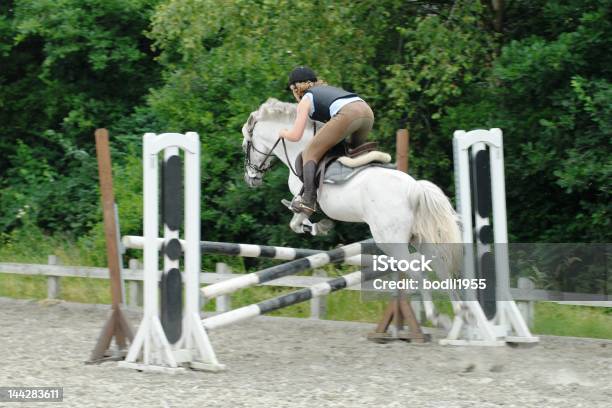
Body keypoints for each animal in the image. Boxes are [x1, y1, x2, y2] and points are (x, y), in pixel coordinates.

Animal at [241, 99, 462, 326]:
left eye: (245, 146)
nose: (250, 179)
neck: (298, 148)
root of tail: (415, 189)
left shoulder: (306, 199)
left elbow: (296, 220)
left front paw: (319, 227)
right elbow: (297, 220)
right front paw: (319, 226)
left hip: (391, 242)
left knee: (419, 274)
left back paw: (437, 317)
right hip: (421, 238)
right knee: (442, 269)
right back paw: (460, 315)